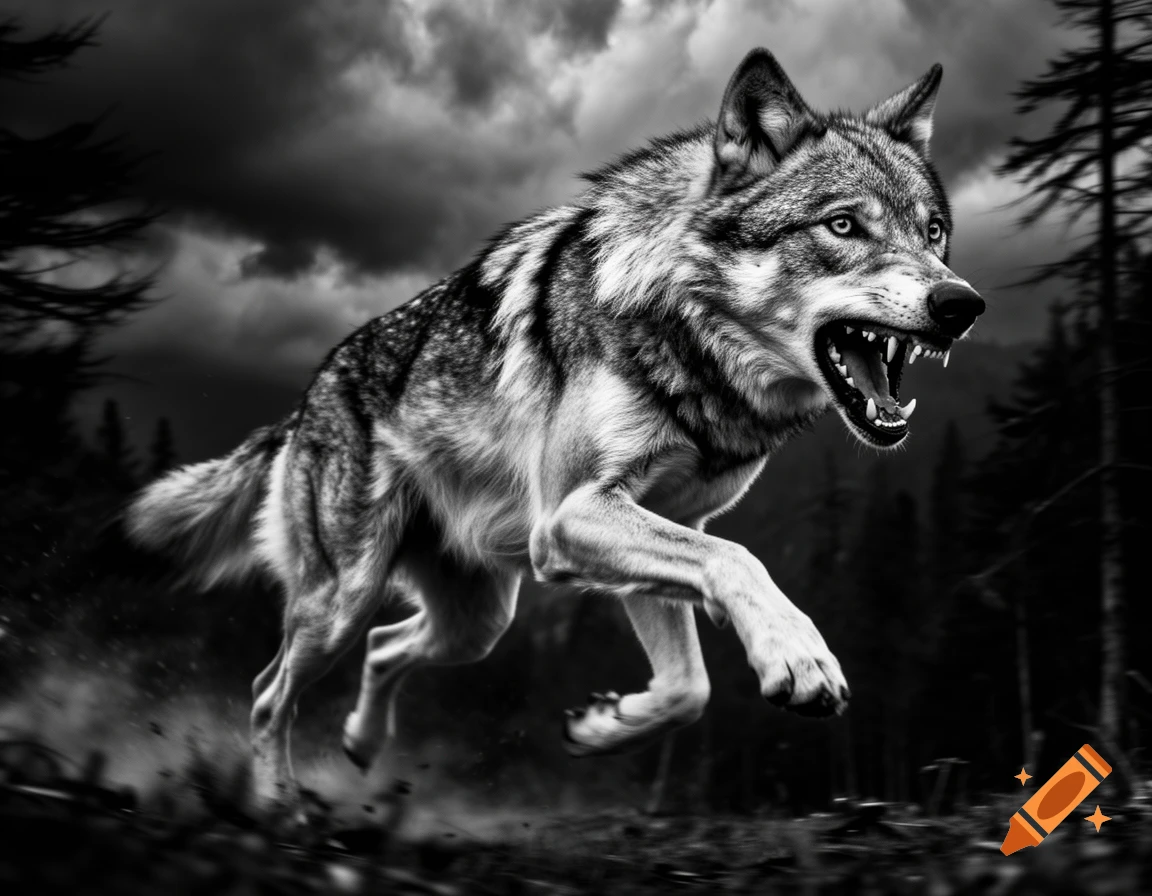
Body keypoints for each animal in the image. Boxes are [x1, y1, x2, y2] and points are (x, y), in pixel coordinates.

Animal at [126, 48, 984, 803]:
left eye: (933, 231)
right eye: (842, 227)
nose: (962, 304)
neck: (692, 353)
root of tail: (305, 401)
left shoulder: (654, 522)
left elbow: (689, 686)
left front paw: (604, 727)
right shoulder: (574, 515)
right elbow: (739, 562)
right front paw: (800, 658)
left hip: (476, 622)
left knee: (385, 646)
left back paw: (362, 746)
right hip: (343, 599)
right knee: (270, 693)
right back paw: (279, 807)